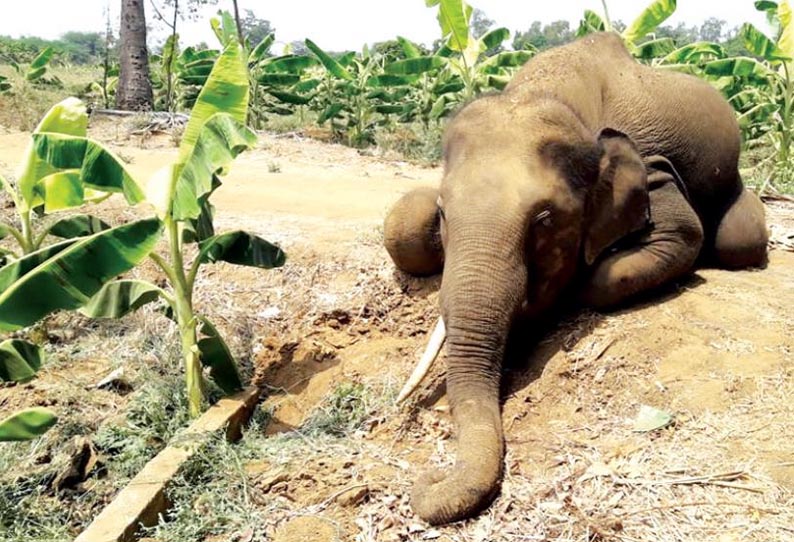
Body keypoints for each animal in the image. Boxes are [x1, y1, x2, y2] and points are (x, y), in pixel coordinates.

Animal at [384, 33, 768, 528]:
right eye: (444, 213)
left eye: (544, 219)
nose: (430, 476)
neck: (552, 93)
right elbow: (400, 223)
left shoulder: (653, 167)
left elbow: (682, 236)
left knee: (740, 240)